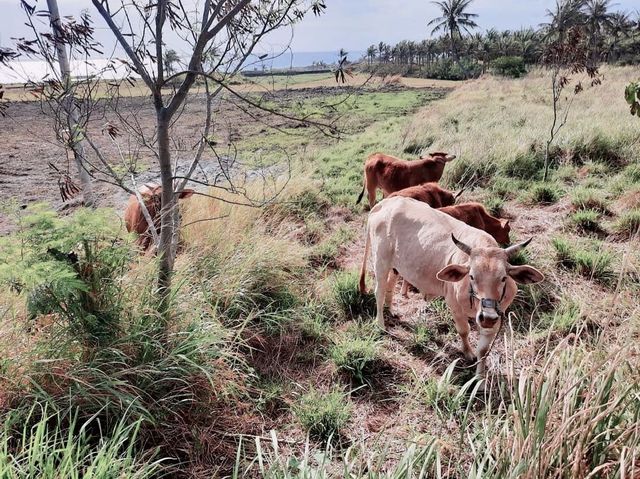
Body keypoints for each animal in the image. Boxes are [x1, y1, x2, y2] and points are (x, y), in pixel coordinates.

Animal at [358, 197, 544, 376]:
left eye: (503, 278)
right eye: (472, 276)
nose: (487, 317)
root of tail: (383, 203)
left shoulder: (497, 317)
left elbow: (484, 350)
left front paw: (480, 378)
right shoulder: (454, 306)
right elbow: (464, 330)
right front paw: (468, 353)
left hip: (396, 266)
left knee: (390, 284)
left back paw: (391, 310)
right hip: (380, 261)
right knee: (379, 292)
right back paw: (381, 324)